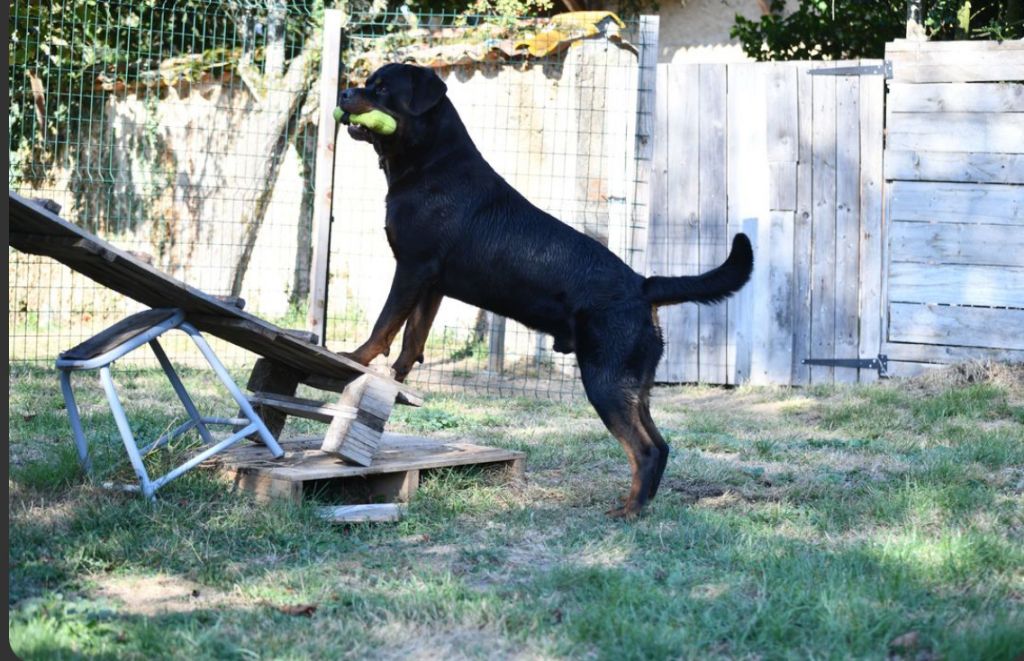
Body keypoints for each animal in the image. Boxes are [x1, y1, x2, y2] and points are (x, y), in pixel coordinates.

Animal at [339, 63, 749, 517]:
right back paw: (640, 505)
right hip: (633, 384)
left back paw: (627, 511)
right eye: (366, 84)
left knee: (643, 449)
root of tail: (644, 287)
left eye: (381, 90)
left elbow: (384, 325)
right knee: (660, 445)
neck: (429, 162)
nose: (344, 93)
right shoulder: (432, 283)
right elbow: (413, 336)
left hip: (605, 380)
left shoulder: (412, 268)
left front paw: (356, 357)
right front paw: (395, 378)